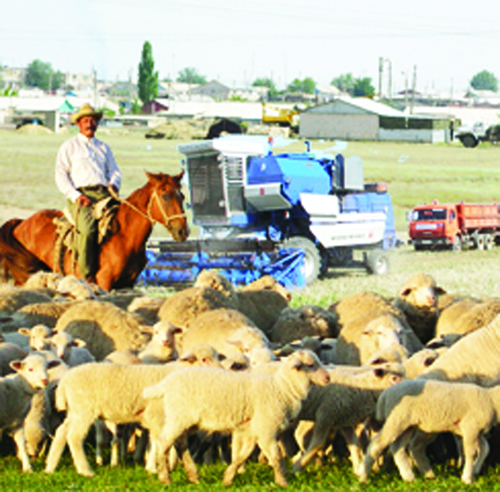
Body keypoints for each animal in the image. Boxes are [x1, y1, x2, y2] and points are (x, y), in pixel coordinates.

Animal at [0, 171, 188, 290]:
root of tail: (21, 223)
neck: (125, 236)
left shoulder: (128, 283)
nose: (183, 231)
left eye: (182, 196)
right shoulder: (104, 282)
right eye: (165, 196)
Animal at [45, 342, 223, 476]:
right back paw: (85, 471)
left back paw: (50, 467)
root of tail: (65, 380)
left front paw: (163, 466)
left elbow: (160, 441)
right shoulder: (158, 414)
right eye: (204, 359)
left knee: (61, 432)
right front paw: (155, 468)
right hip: (84, 410)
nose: (222, 371)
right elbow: (158, 441)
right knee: (74, 437)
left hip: (74, 410)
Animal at [143, 350, 330, 488]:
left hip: (186, 420)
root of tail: (166, 382)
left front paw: (228, 478)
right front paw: (283, 482)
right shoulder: (266, 428)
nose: (328, 378)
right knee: (164, 443)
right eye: (311, 365)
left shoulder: (253, 431)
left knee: (180, 443)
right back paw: (165, 478)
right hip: (178, 417)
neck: (282, 388)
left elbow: (242, 455)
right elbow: (276, 456)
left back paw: (192, 476)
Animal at [358, 378, 498, 482]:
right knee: (377, 445)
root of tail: (385, 395)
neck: (491, 399)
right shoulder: (470, 427)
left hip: (405, 424)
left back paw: (410, 477)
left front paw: (475, 470)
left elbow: (485, 448)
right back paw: (363, 478)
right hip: (397, 419)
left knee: (397, 448)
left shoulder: (478, 431)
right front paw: (467, 478)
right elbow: (471, 452)